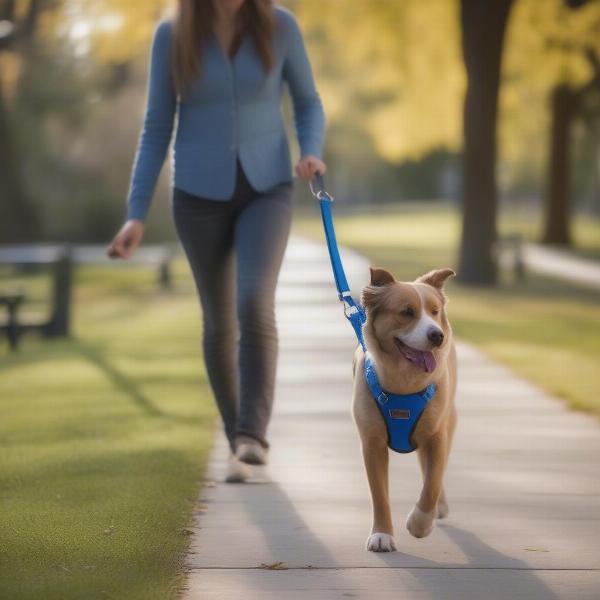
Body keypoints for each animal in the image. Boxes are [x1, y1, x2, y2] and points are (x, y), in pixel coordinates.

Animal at [350, 268, 458, 552]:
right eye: (407, 312)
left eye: (434, 311)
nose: (437, 335)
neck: (404, 381)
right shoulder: (372, 442)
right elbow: (379, 494)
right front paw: (382, 535)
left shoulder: (436, 436)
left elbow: (432, 484)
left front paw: (420, 524)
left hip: (448, 421)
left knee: (435, 474)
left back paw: (438, 508)